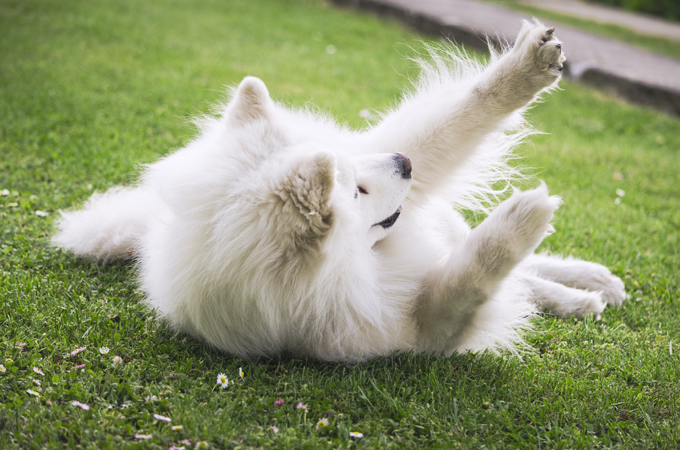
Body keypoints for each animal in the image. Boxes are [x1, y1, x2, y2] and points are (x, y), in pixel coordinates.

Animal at [54, 22, 628, 364]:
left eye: (355, 171)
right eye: (356, 190)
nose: (404, 162)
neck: (362, 263)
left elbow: (465, 113)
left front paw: (528, 68)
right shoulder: (424, 330)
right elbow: (474, 276)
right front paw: (525, 216)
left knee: (529, 274)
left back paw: (592, 283)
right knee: (520, 281)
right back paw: (583, 297)